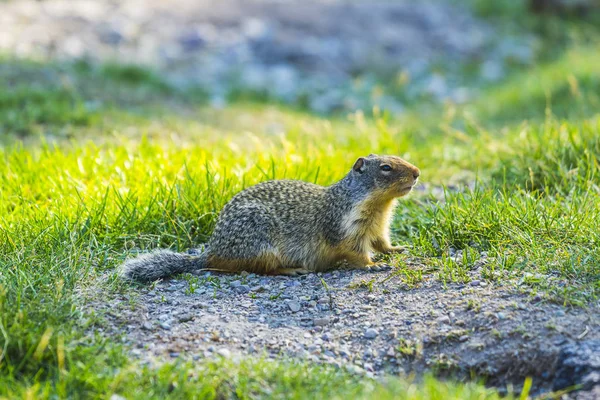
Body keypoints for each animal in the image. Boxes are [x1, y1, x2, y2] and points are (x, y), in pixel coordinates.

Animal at [121, 153, 420, 282]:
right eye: (386, 167)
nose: (417, 172)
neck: (379, 206)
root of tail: (211, 252)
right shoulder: (347, 227)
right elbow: (356, 251)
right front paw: (372, 265)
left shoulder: (379, 226)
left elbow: (382, 242)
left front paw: (398, 248)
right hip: (261, 243)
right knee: (259, 268)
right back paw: (293, 269)